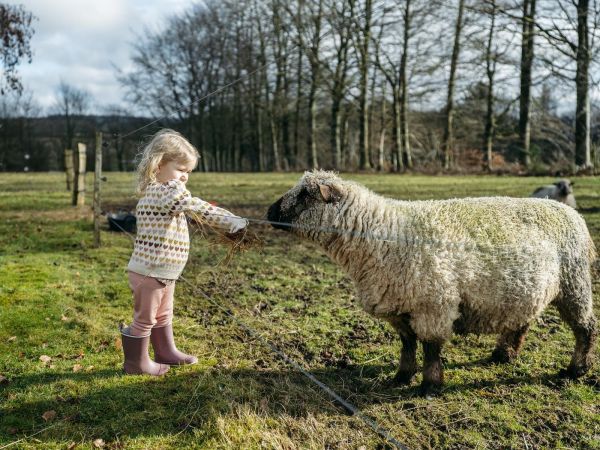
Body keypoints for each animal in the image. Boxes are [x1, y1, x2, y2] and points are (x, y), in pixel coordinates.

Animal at [268, 171, 596, 396]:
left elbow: (430, 348)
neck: (382, 233)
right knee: (521, 322)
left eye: (305, 195)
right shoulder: (399, 306)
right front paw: (401, 377)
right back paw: (503, 355)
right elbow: (407, 345)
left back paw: (576, 369)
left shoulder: (433, 304)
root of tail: (569, 212)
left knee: (586, 327)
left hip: (574, 282)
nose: (269, 212)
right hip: (523, 288)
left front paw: (429, 386)